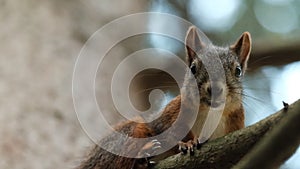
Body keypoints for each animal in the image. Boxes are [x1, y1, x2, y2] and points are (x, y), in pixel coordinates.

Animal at [76, 26, 252, 169]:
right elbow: (167, 134)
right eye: (193, 68)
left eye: (238, 71)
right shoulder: (169, 115)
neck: (210, 113)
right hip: (123, 136)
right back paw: (143, 157)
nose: (215, 89)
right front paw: (188, 143)